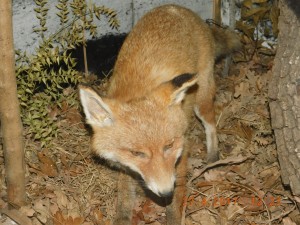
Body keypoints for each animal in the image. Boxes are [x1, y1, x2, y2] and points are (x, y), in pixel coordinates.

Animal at [78, 3, 241, 225]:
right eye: (137, 153)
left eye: (168, 146)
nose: (164, 192)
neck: (138, 92)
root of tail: (175, 8)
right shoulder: (127, 165)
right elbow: (124, 197)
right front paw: (122, 216)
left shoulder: (182, 150)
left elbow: (175, 202)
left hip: (202, 98)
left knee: (211, 125)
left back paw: (213, 157)